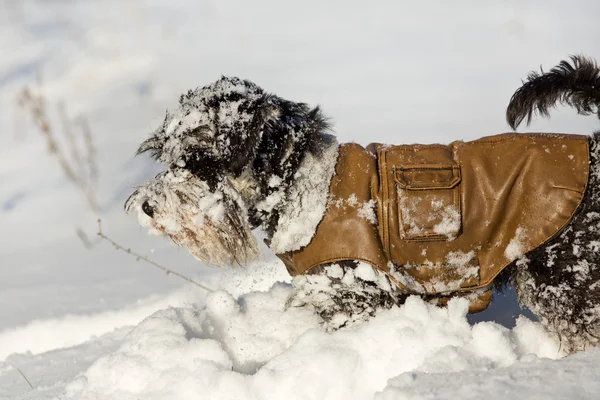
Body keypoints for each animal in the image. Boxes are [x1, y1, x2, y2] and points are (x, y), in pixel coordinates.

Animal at [126, 55, 600, 354]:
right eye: (163, 152)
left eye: (197, 159)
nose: (146, 207)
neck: (299, 185)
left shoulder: (353, 299)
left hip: (563, 281)